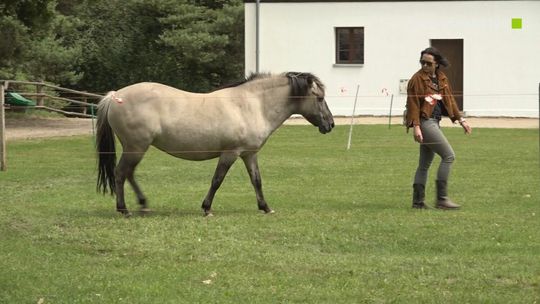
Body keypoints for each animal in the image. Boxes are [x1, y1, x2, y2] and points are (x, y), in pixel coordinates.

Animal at [96, 72, 334, 216]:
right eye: (320, 98)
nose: (330, 124)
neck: (251, 105)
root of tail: (115, 96)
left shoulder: (249, 154)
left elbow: (256, 180)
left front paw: (265, 207)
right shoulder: (230, 153)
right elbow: (217, 180)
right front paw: (207, 208)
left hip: (136, 148)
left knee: (128, 174)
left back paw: (143, 204)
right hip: (135, 147)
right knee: (121, 173)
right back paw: (124, 209)